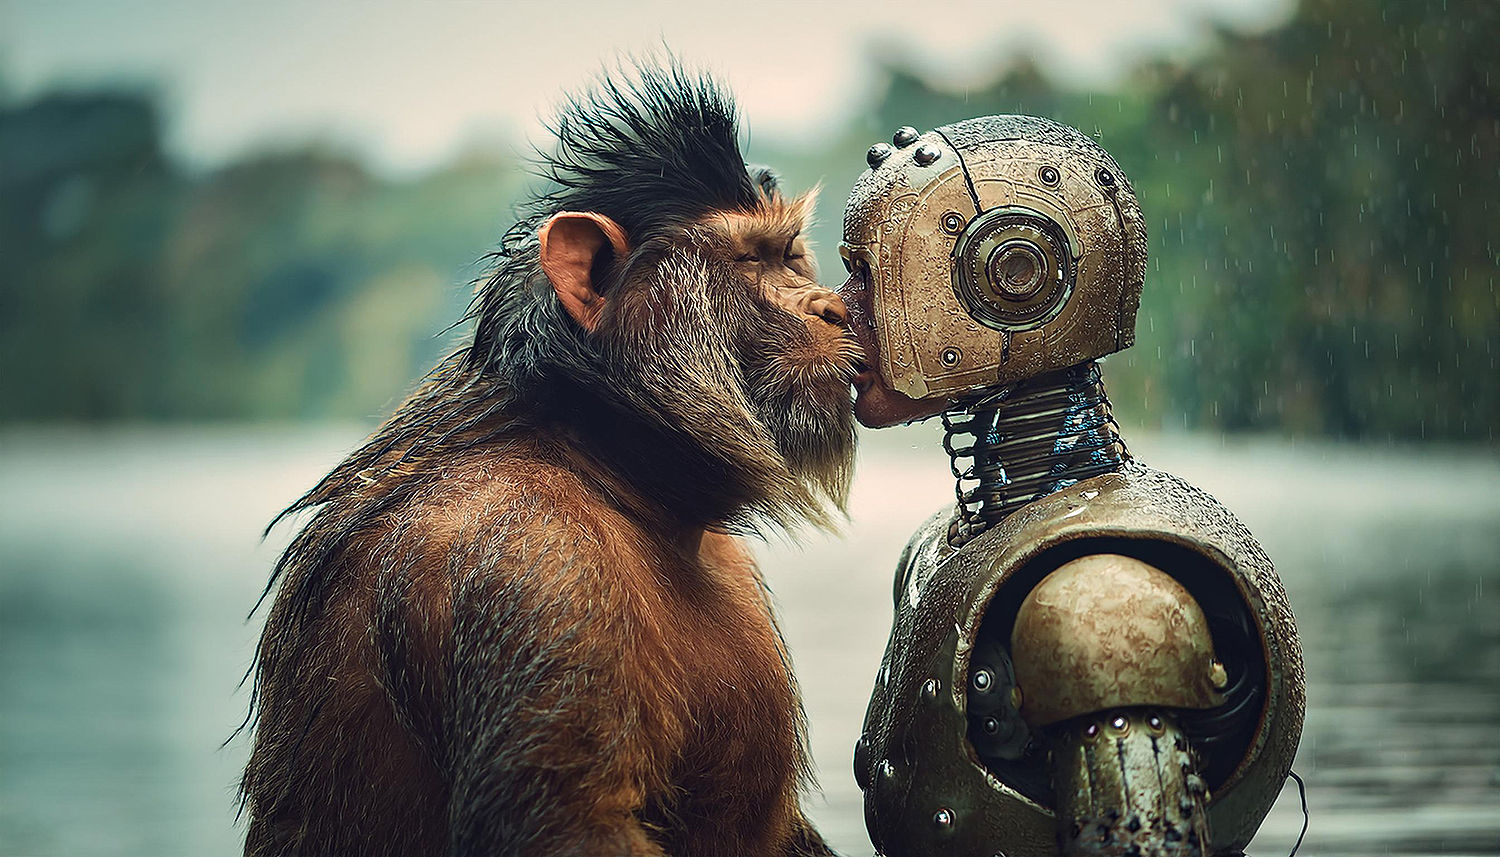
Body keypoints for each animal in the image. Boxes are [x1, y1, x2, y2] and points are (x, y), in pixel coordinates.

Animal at [236, 64, 863, 857]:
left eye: (791, 257)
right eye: (753, 261)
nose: (830, 307)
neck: (611, 469)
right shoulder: (529, 565)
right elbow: (565, 824)